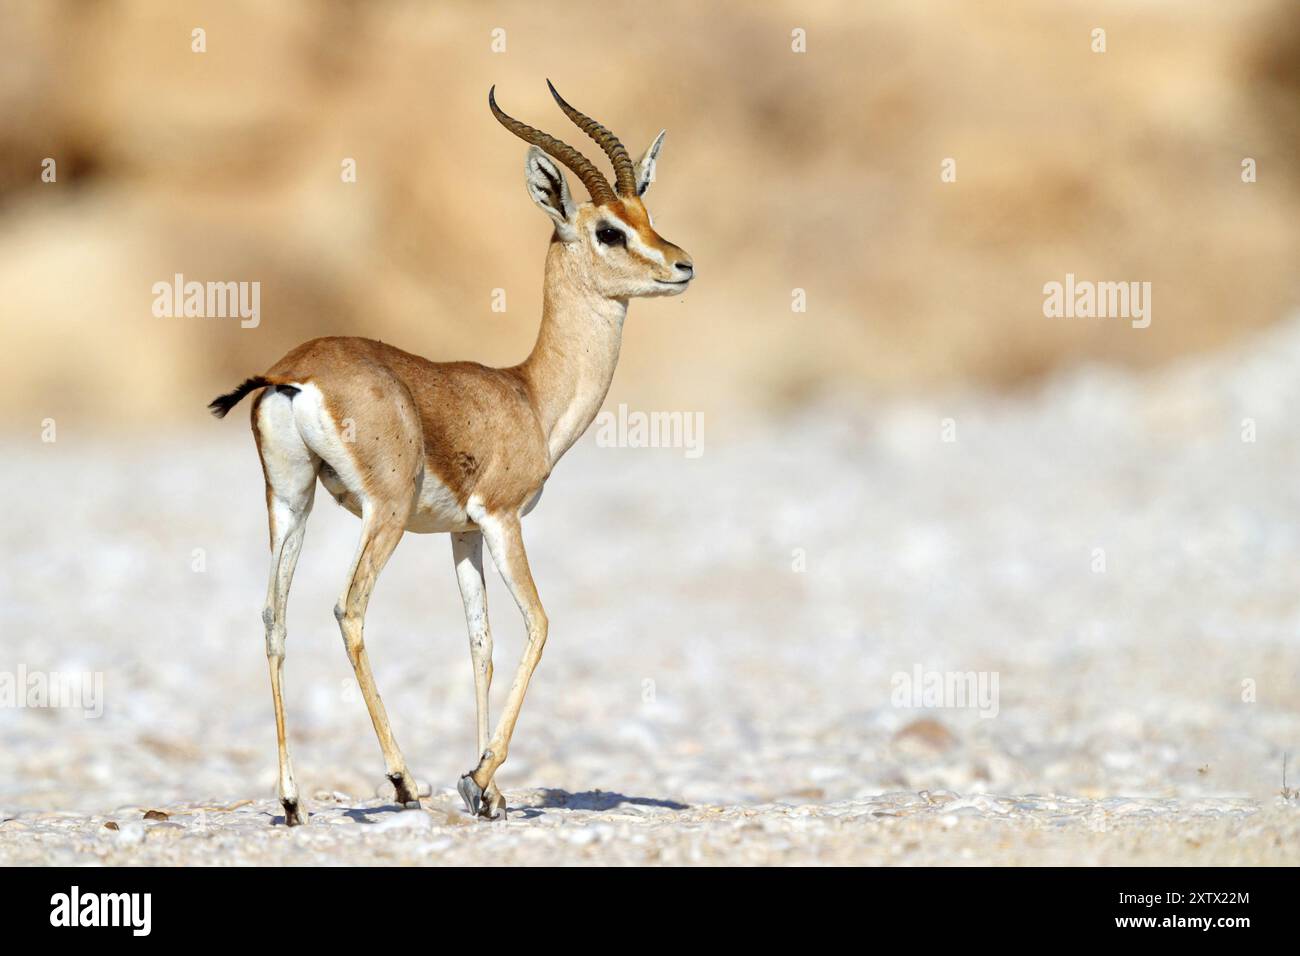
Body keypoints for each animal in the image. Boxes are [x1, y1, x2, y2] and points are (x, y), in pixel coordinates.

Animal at [208, 82, 693, 823]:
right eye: (609, 229)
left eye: (646, 211)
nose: (682, 265)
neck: (528, 395)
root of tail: (293, 372)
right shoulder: (502, 518)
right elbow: (538, 624)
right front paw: (477, 777)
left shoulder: (461, 534)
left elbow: (480, 643)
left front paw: (490, 795)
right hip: (382, 513)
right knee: (349, 609)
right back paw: (405, 782)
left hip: (291, 502)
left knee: (272, 616)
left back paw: (291, 800)